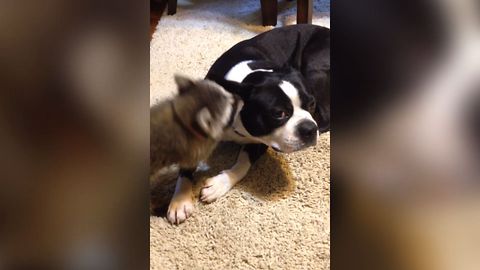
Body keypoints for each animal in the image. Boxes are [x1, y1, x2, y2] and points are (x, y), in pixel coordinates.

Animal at [167, 24, 328, 224]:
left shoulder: (260, 141)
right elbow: (187, 164)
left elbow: (244, 163)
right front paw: (180, 200)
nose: (309, 128)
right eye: (278, 114)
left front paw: (219, 184)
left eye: (311, 104)